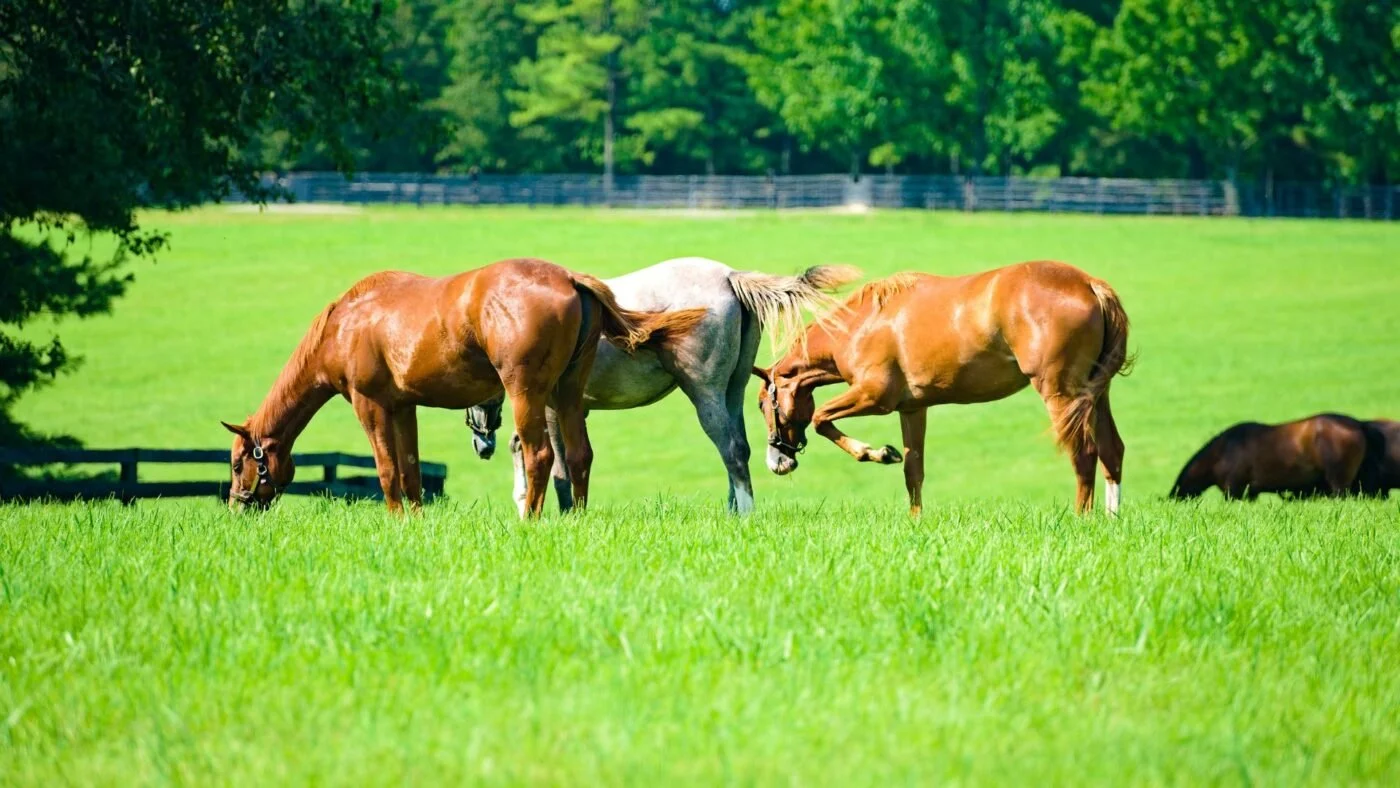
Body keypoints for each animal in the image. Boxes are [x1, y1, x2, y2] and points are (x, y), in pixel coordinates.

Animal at [221, 258, 705, 517]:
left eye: (238, 463)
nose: (236, 505)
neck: (345, 324)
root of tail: (569, 278)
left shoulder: (369, 405)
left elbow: (386, 470)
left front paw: (395, 520)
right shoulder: (403, 407)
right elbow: (411, 470)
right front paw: (413, 522)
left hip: (526, 393)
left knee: (540, 456)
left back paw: (529, 520)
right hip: (566, 393)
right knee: (579, 455)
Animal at [463, 257, 861, 514]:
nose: (481, 444)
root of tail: (729, 276)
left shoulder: (550, 409)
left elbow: (555, 465)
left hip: (705, 395)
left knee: (731, 448)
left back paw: (745, 514)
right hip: (731, 393)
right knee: (740, 448)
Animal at [753, 261, 1132, 516]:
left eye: (761, 404)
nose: (777, 462)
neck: (860, 324)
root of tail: (1090, 285)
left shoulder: (874, 397)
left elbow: (821, 419)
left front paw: (874, 452)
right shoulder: (911, 408)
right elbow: (913, 470)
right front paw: (915, 519)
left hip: (1061, 395)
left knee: (1084, 453)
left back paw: (1082, 518)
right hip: (1096, 397)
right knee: (1112, 451)